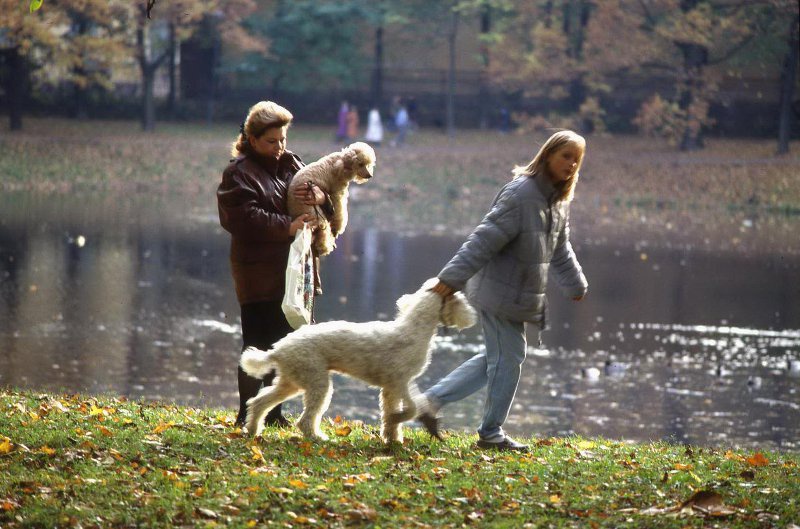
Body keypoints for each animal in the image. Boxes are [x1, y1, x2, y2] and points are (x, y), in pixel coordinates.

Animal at [238, 278, 476, 444]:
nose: (472, 317)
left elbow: (396, 409)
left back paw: (252, 429)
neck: (414, 328)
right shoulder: (399, 382)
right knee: (304, 420)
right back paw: (317, 438)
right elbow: (412, 409)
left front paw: (393, 437)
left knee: (259, 402)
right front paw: (396, 420)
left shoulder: (393, 387)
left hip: (292, 382)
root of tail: (277, 349)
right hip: (316, 383)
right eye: (460, 300)